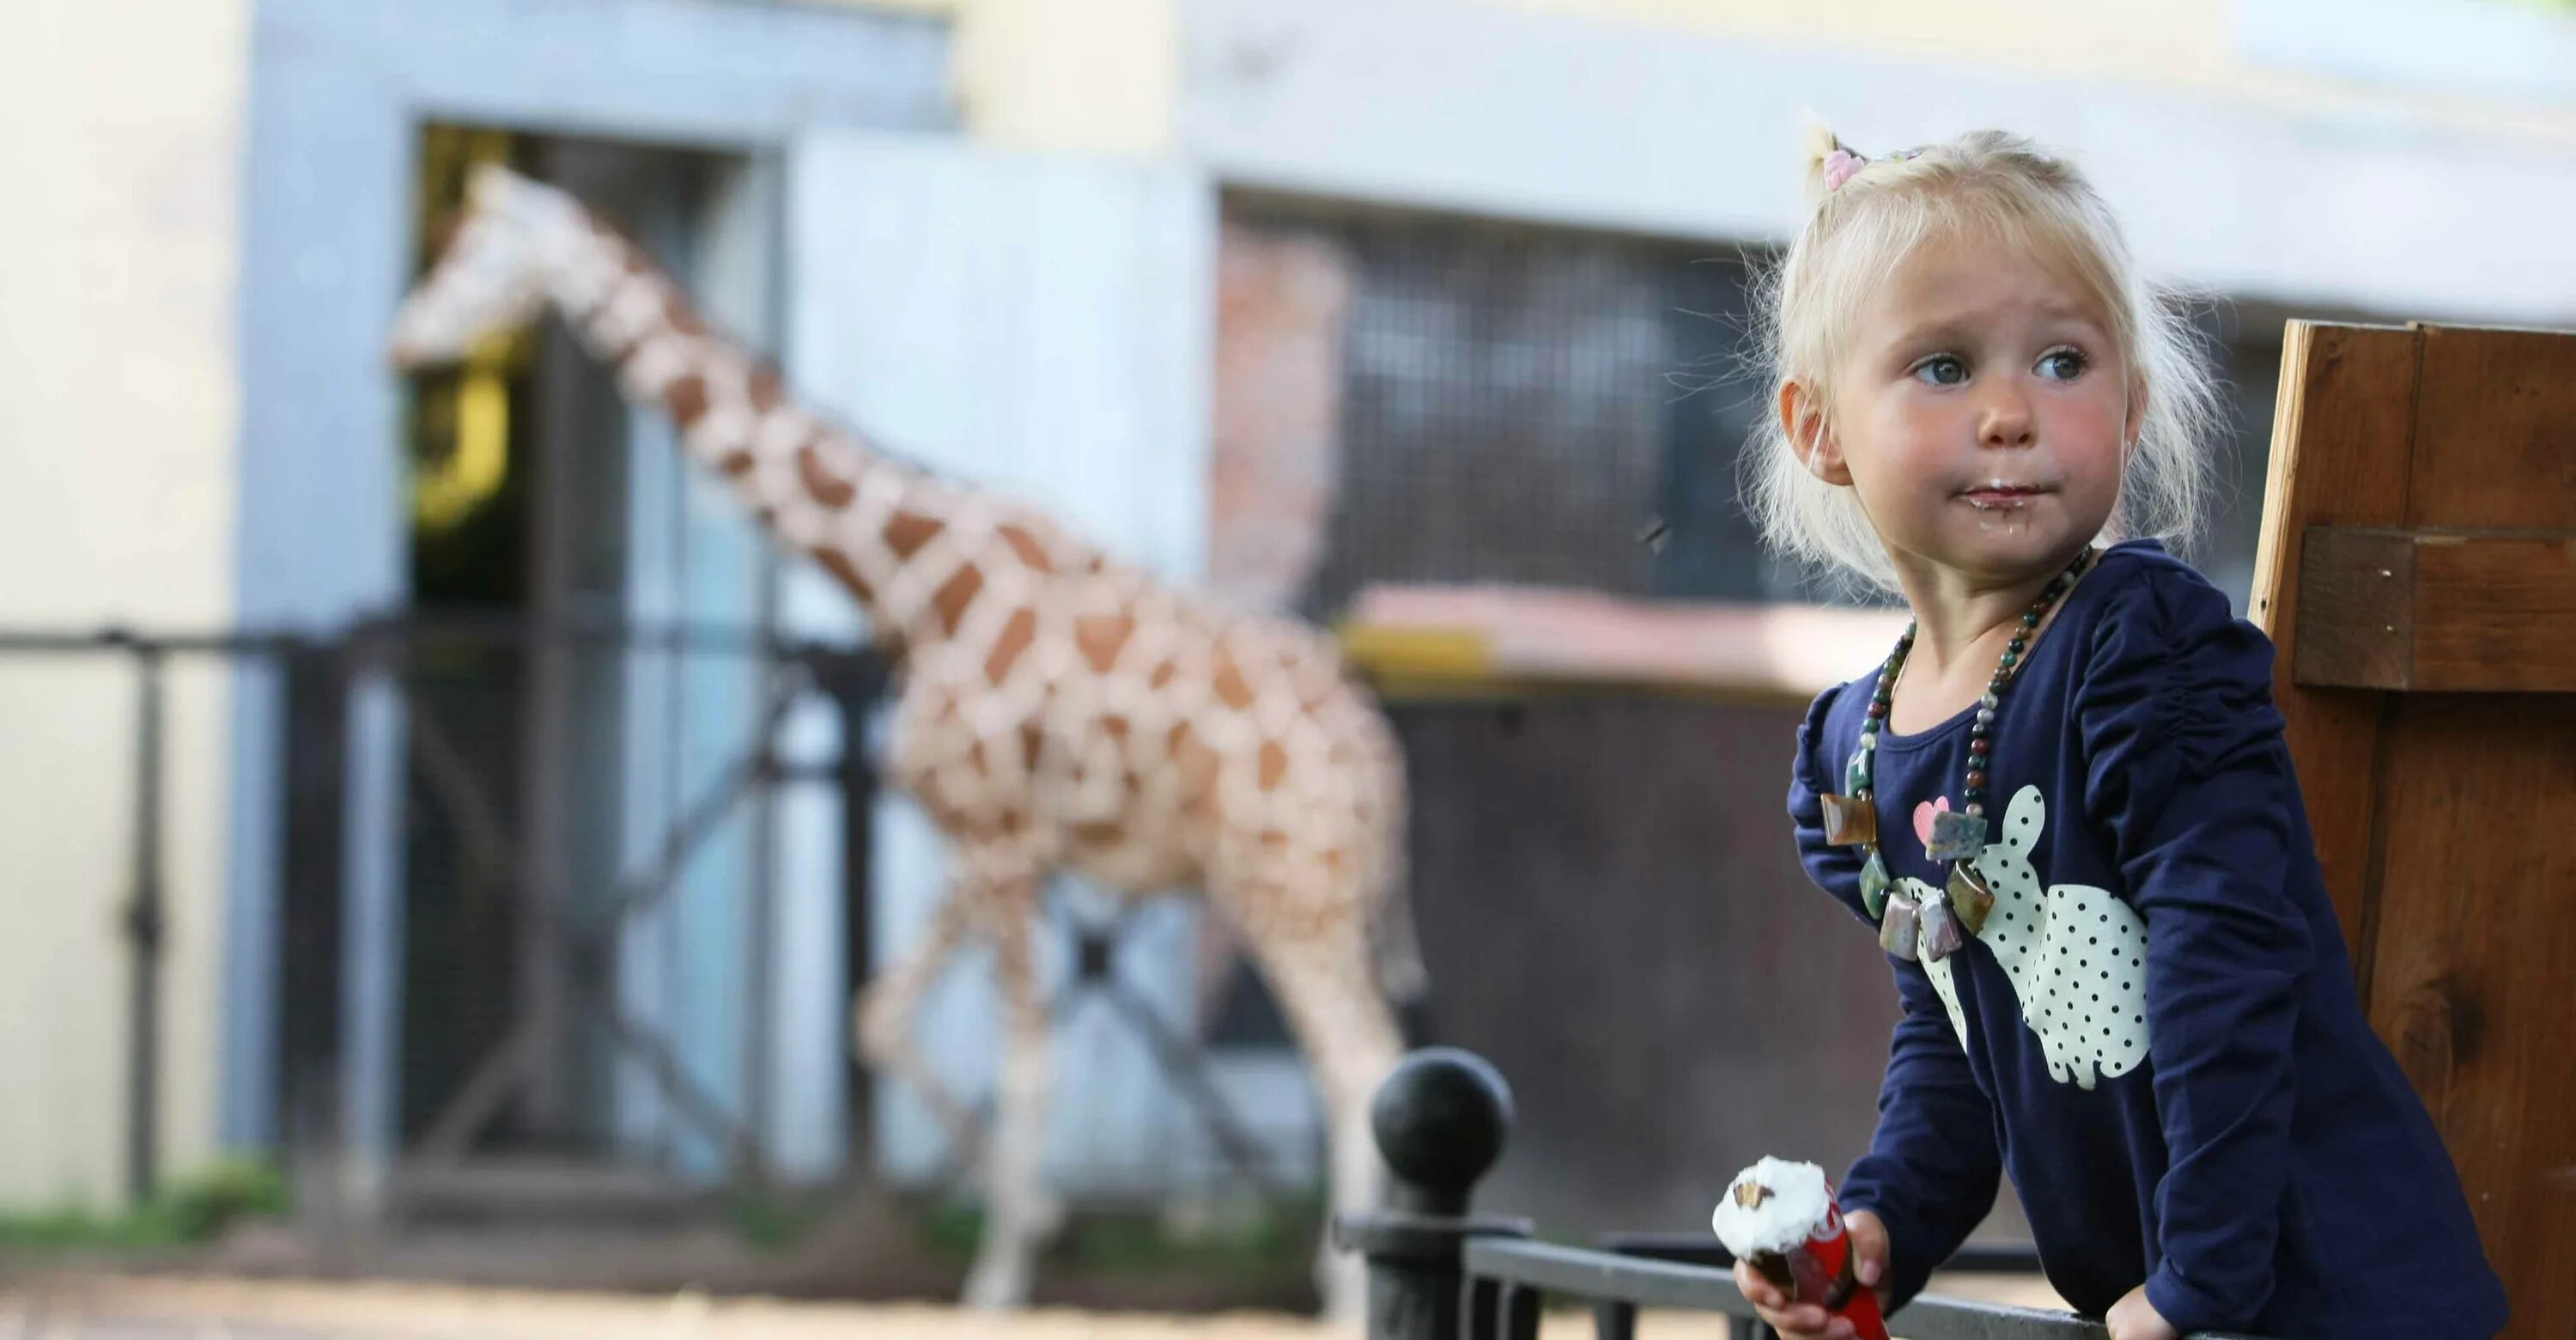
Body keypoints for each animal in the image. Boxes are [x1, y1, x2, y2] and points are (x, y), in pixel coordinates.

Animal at [389, 162, 1422, 1314]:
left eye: (480, 255)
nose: (401, 343)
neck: (914, 584)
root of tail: (1379, 764)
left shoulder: (1004, 842)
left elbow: (1027, 1061)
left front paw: (1000, 1278)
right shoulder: (977, 839)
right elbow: (878, 1016)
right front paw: (1041, 1221)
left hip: (1286, 889)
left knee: (1360, 1063)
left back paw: (1347, 1298)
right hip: (1307, 897)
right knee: (1368, 1062)